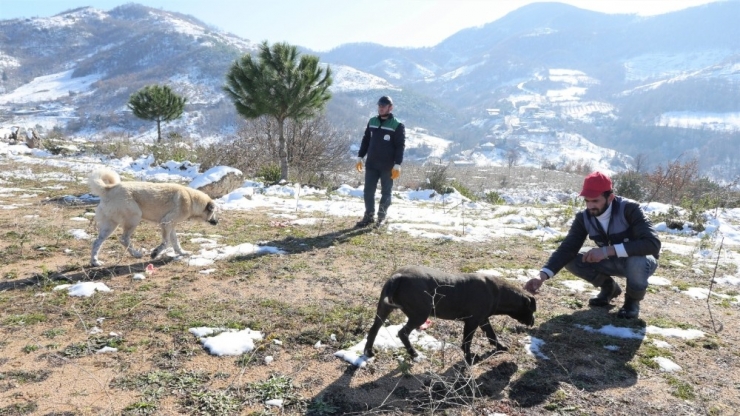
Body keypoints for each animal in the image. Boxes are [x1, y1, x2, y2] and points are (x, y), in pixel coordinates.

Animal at [88, 167, 218, 266]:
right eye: (214, 212)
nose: (217, 222)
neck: (191, 200)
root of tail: (108, 189)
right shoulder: (166, 223)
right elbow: (166, 243)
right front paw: (155, 253)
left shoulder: (171, 225)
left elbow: (175, 242)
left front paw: (182, 253)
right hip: (134, 218)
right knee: (124, 239)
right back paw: (136, 254)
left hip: (110, 225)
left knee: (96, 242)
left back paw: (95, 262)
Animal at [366, 266, 536, 364]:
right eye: (532, 310)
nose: (533, 322)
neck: (499, 293)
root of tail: (398, 276)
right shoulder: (472, 322)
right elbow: (467, 342)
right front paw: (469, 358)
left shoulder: (483, 320)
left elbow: (492, 335)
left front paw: (500, 347)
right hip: (419, 315)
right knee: (402, 333)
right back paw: (414, 354)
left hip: (383, 310)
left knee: (373, 330)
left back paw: (368, 351)